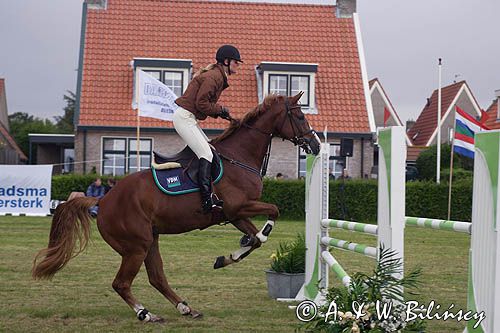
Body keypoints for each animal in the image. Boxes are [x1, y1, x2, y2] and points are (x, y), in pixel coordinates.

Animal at [33, 92, 320, 322]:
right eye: (299, 116)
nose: (316, 145)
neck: (240, 157)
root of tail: (103, 200)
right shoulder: (240, 206)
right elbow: (272, 215)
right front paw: (242, 246)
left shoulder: (234, 213)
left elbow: (256, 240)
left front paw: (227, 257)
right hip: (136, 246)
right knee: (121, 283)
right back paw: (146, 313)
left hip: (150, 240)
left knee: (157, 277)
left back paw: (185, 307)